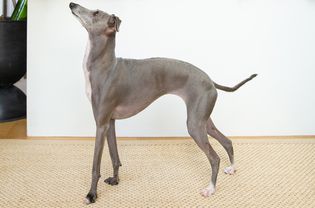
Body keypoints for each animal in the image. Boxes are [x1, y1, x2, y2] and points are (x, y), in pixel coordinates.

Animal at [70, 2, 258, 205]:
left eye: (96, 13)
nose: (72, 4)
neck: (105, 67)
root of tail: (210, 80)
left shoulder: (101, 123)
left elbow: (95, 166)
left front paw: (91, 194)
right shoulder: (110, 122)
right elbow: (115, 156)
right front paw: (115, 180)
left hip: (194, 125)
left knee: (214, 158)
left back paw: (210, 189)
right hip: (203, 120)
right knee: (227, 141)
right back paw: (232, 168)